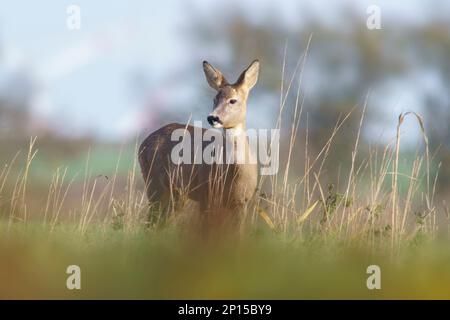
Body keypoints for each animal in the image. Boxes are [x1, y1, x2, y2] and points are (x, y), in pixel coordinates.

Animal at [138, 60, 260, 225]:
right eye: (214, 99)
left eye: (233, 100)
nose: (213, 117)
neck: (236, 173)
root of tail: (143, 143)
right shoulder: (206, 194)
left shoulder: (242, 202)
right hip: (154, 183)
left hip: (175, 194)